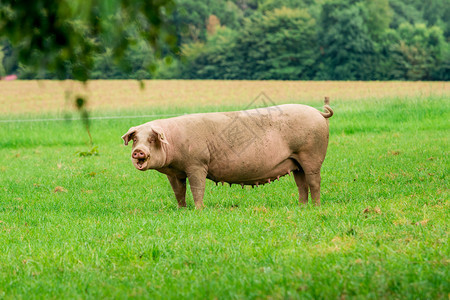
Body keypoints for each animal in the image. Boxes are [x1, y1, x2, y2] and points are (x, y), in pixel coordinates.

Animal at [121, 98, 332, 209]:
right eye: (135, 139)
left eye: (151, 139)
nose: (138, 151)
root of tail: (319, 114)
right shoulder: (175, 173)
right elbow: (178, 191)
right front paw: (182, 209)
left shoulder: (197, 164)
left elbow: (197, 188)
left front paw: (198, 210)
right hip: (296, 162)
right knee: (301, 184)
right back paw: (302, 206)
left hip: (311, 154)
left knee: (314, 181)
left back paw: (316, 207)